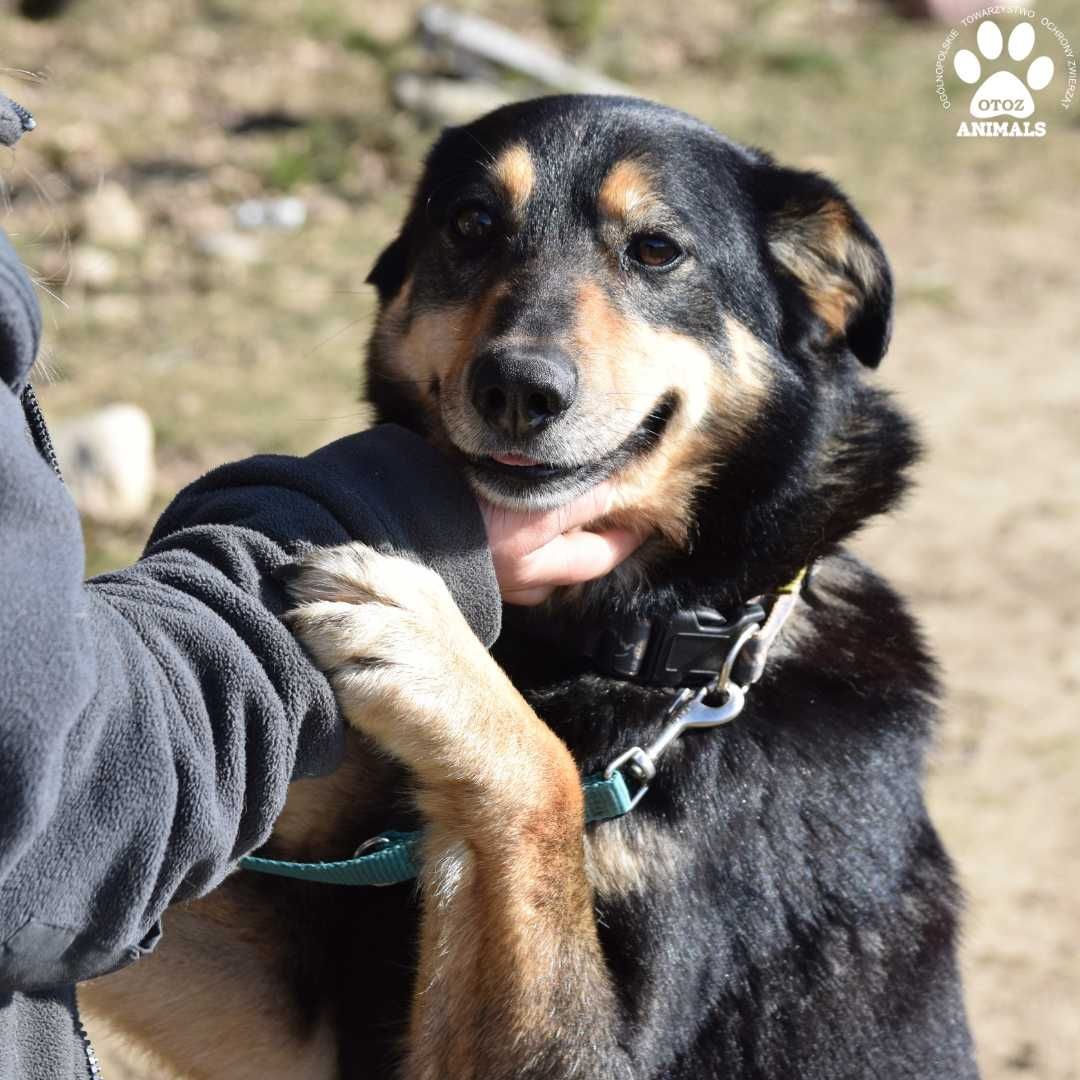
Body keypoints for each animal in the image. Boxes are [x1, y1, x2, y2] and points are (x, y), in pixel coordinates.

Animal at [84, 95, 980, 1080]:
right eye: (471, 224)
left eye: (656, 249)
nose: (517, 389)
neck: (605, 650)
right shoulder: (298, 1000)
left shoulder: (592, 1049)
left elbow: (544, 777)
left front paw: (433, 648)